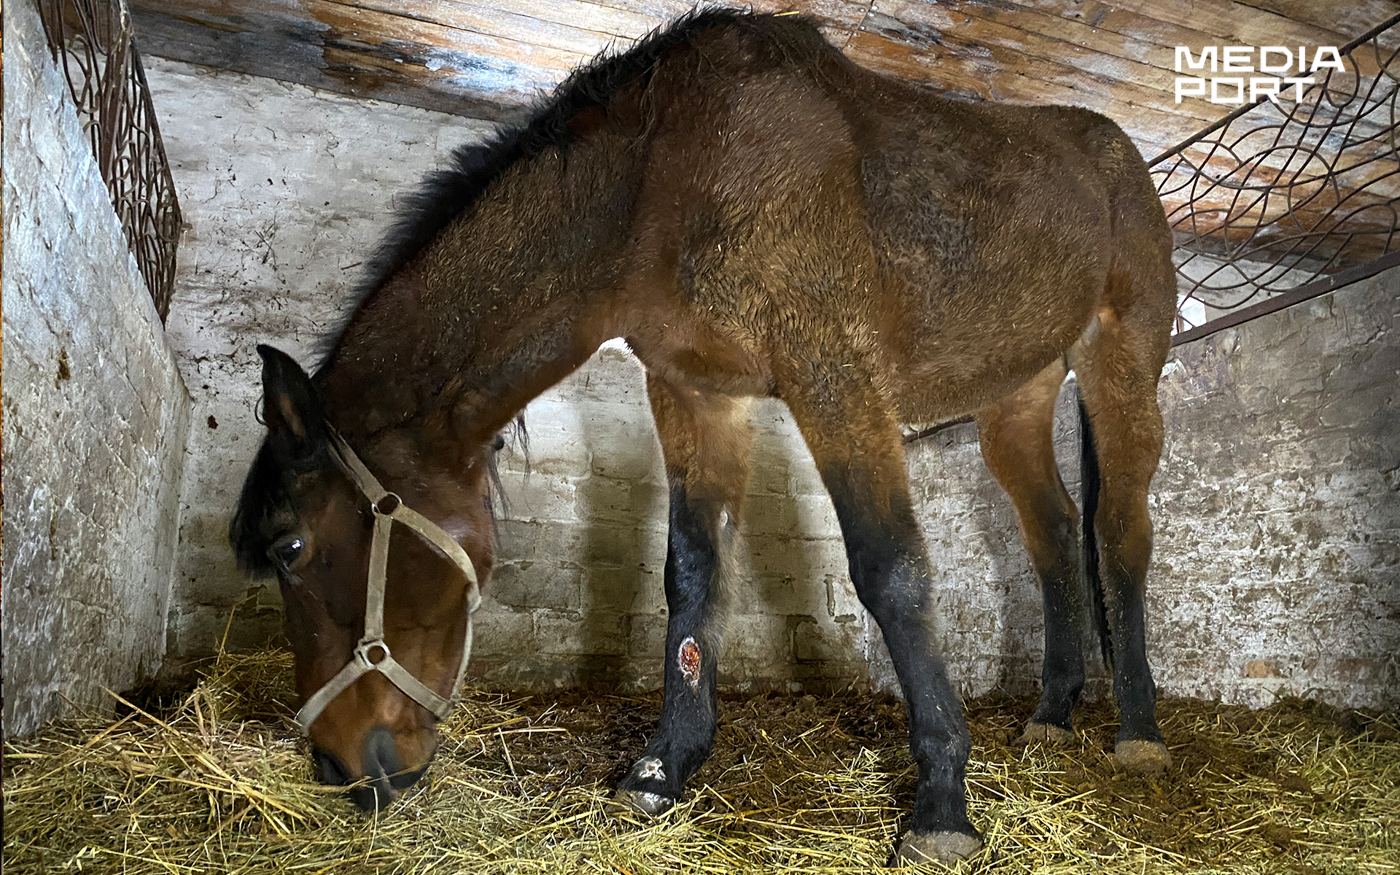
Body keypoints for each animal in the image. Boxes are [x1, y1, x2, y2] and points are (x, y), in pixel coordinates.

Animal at [235, 10, 1176, 862]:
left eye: (290, 547)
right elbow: (691, 570)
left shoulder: (833, 374)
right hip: (1015, 399)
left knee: (1119, 535)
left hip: (1120, 365)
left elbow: (891, 570)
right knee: (1054, 535)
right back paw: (1052, 714)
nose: (337, 766)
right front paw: (665, 765)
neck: (660, 182)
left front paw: (942, 800)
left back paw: (1137, 729)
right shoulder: (698, 392)